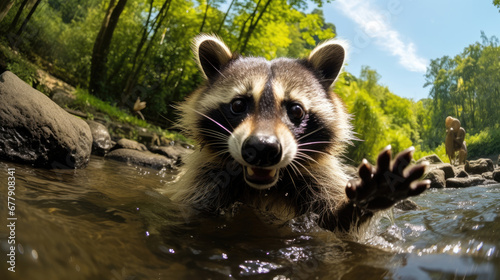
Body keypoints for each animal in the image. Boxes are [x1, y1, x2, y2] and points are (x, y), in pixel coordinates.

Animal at [168, 34, 430, 233]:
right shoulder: (204, 179)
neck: (264, 187)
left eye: (296, 110)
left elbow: (336, 223)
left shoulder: (317, 180)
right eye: (238, 104)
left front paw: (368, 198)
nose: (262, 148)